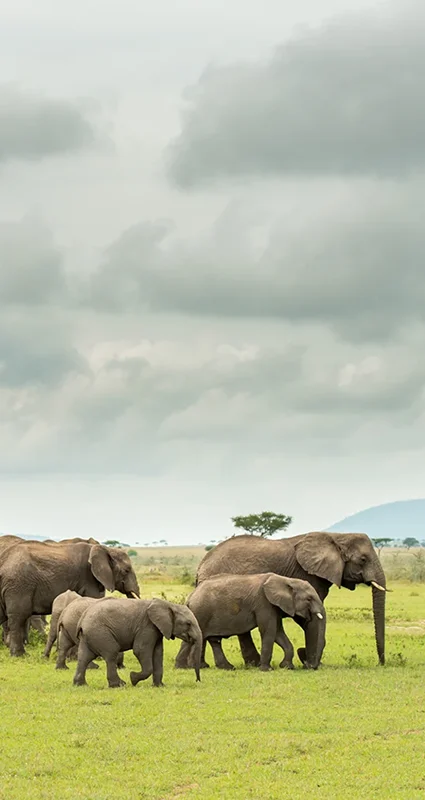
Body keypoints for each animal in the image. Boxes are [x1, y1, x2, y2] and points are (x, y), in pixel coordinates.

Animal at [0, 541, 140, 656]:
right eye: (126, 570)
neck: (105, 549)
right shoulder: (89, 579)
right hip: (19, 585)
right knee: (18, 617)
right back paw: (20, 655)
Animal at [73, 597, 202, 688]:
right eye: (188, 623)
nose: (197, 681)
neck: (168, 604)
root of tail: (82, 620)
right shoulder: (147, 626)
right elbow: (140, 650)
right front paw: (133, 678)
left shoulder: (157, 630)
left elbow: (158, 653)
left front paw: (159, 686)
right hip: (100, 632)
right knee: (111, 654)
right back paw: (119, 685)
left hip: (89, 635)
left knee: (84, 657)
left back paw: (81, 685)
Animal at [175, 573, 326, 672]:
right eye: (309, 599)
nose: (308, 666)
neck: (286, 580)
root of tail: (190, 597)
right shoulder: (263, 603)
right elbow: (269, 631)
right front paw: (267, 670)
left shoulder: (274, 606)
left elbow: (278, 633)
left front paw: (287, 667)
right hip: (200, 611)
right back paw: (183, 667)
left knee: (213, 640)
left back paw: (225, 668)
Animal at [195, 531, 387, 667]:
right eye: (363, 559)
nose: (381, 663)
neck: (337, 536)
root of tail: (201, 564)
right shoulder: (307, 576)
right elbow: (306, 619)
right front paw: (309, 661)